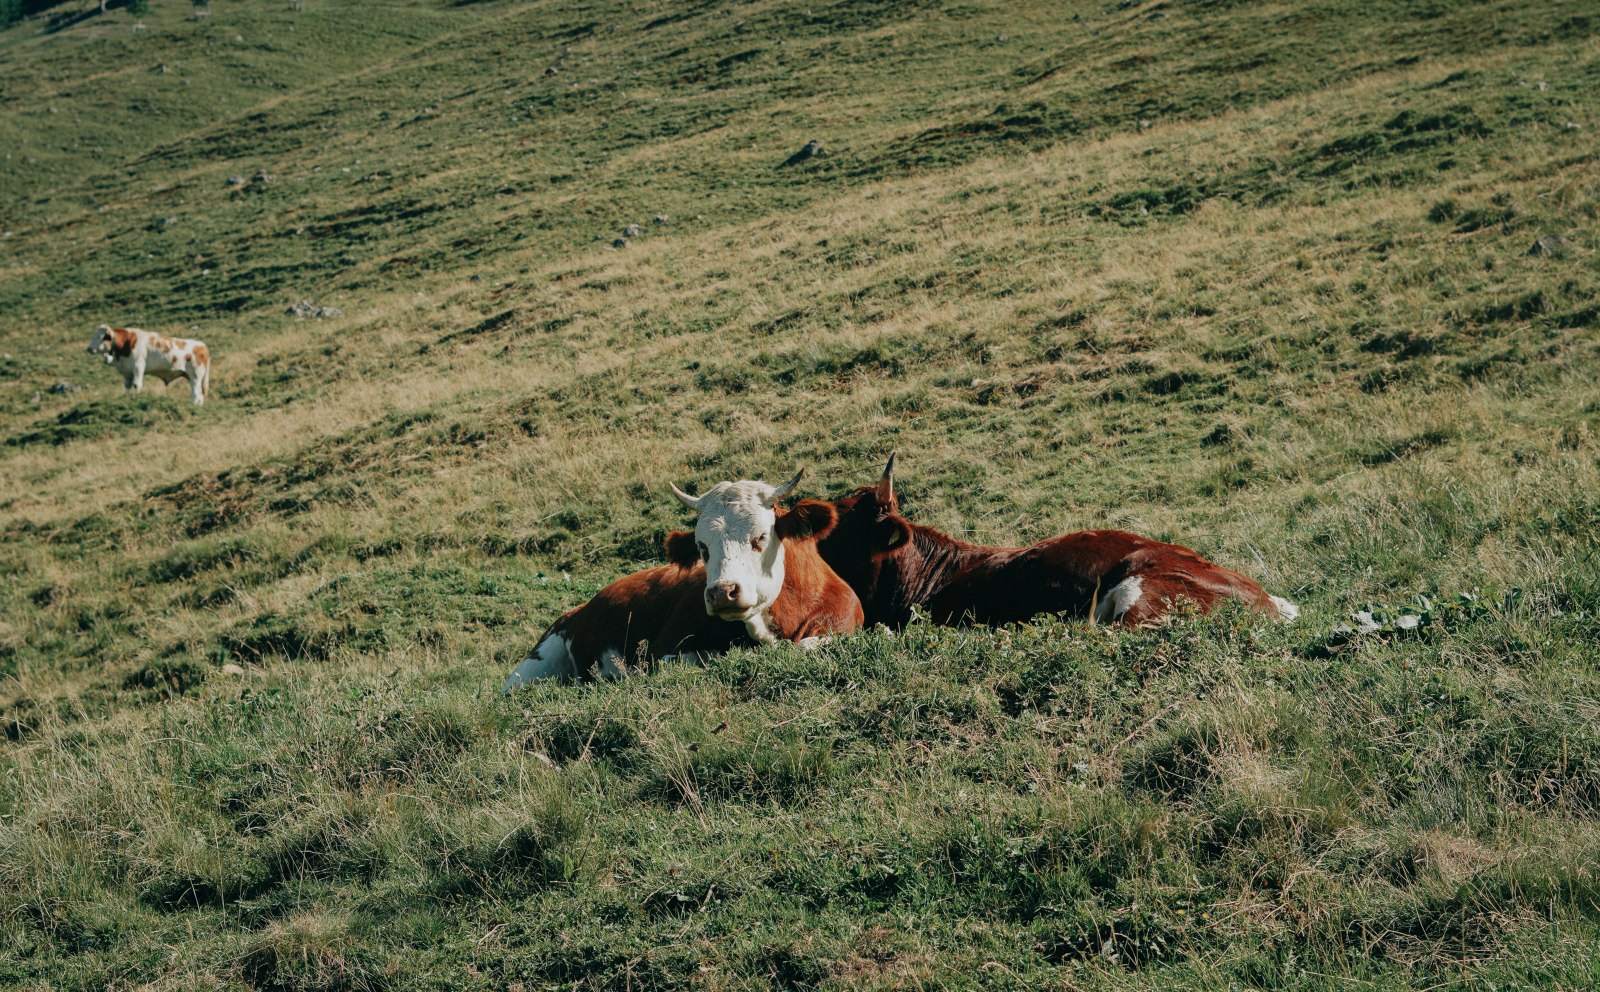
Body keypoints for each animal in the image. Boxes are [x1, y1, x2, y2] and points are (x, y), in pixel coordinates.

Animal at [508, 470, 864, 684]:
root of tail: (578, 609)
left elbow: (808, 646)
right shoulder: (663, 650)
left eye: (760, 537)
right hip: (528, 670)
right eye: (701, 547)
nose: (722, 592)